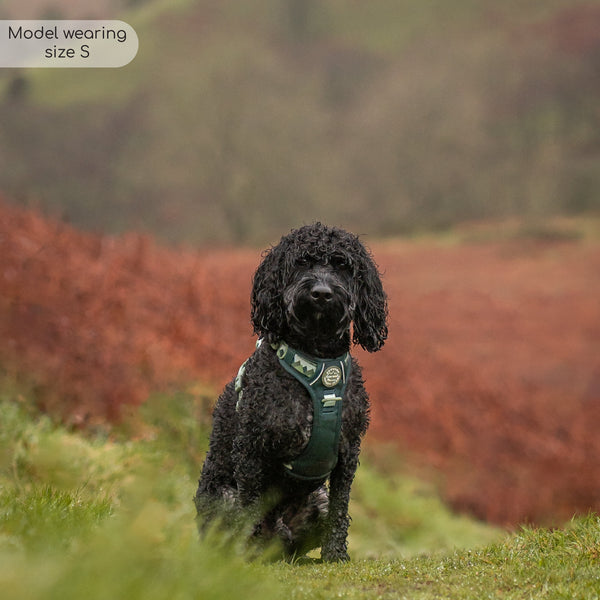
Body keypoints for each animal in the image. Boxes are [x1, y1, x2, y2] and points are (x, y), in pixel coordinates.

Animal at [195, 223, 386, 560]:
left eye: (342, 265)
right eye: (302, 262)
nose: (321, 293)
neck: (318, 359)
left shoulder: (348, 450)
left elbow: (340, 508)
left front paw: (335, 555)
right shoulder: (252, 449)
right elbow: (251, 508)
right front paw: (249, 552)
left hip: (316, 502)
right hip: (224, 498)